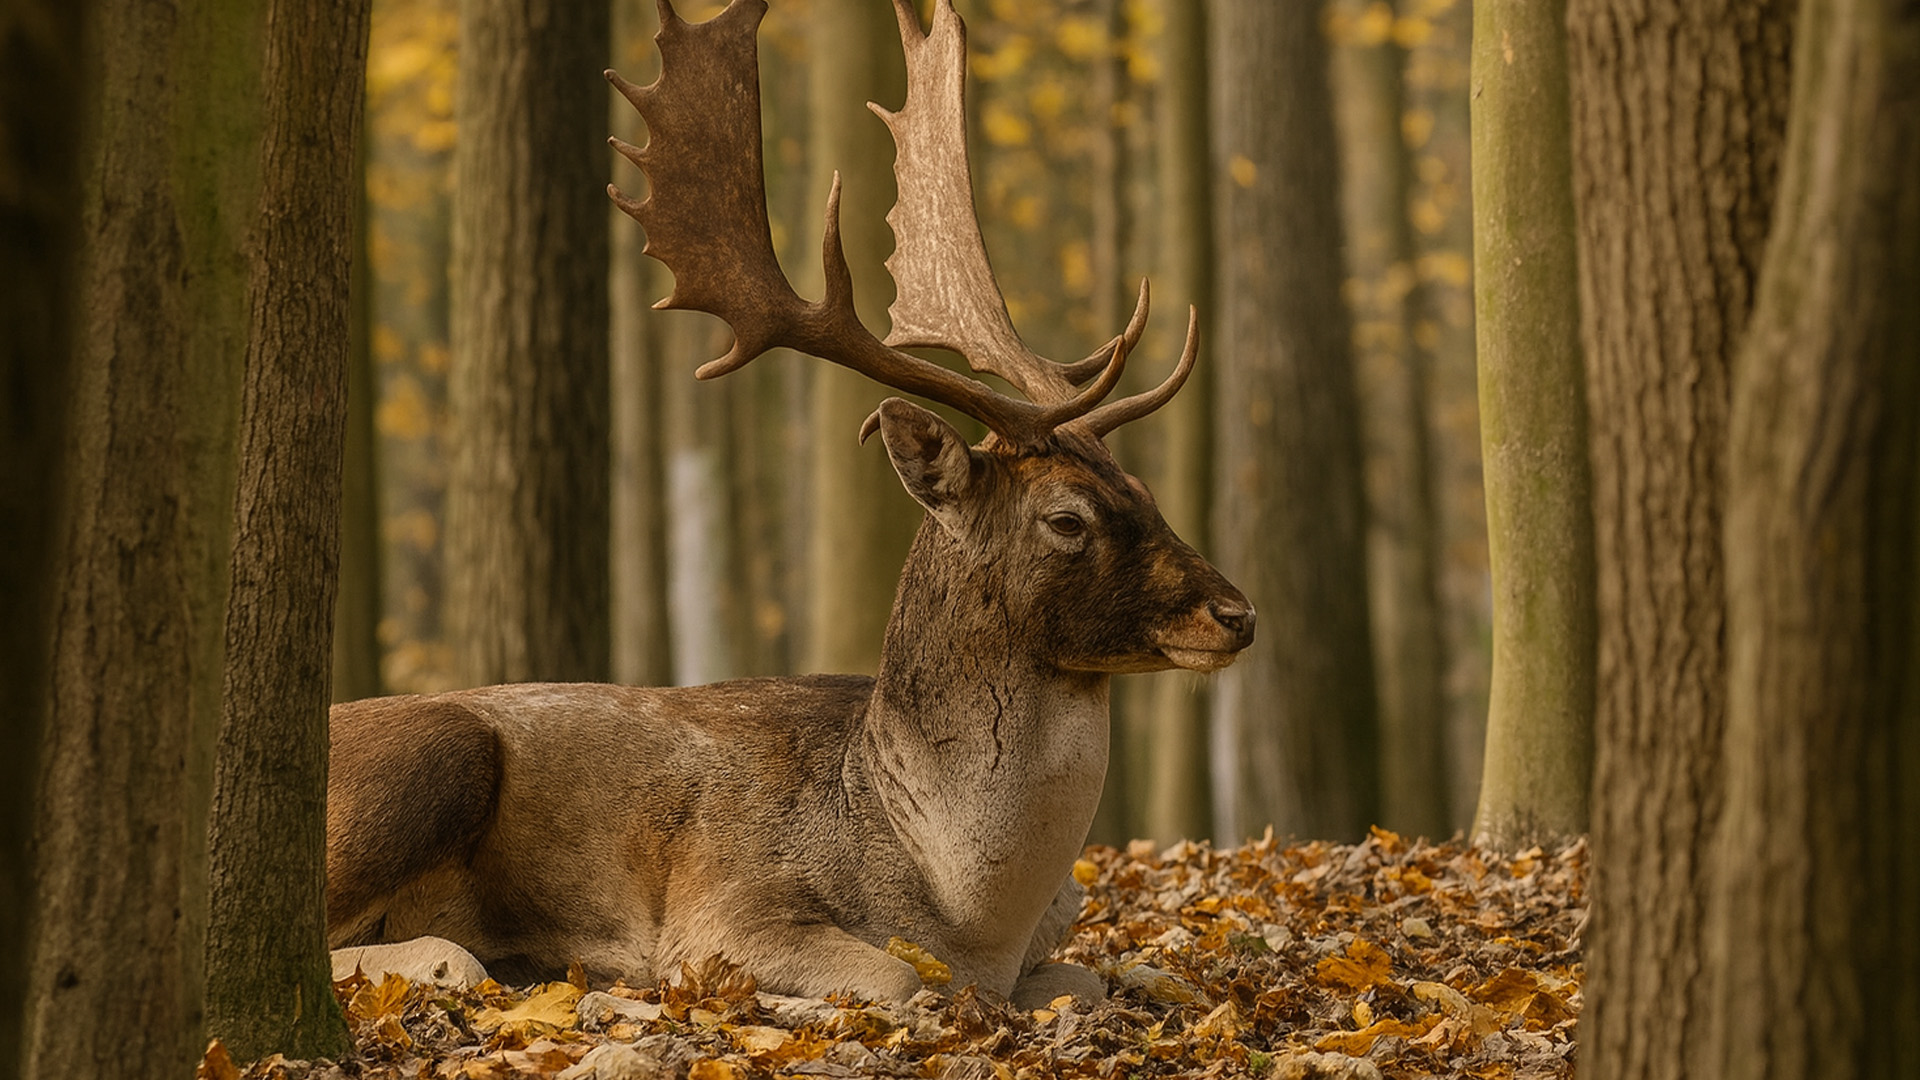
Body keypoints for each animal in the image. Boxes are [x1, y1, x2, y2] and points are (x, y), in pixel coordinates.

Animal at [324, 0, 1254, 1011]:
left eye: (1146, 491)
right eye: (1066, 519)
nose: (1237, 613)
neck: (972, 918)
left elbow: (1096, 977)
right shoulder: (728, 900)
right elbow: (896, 977)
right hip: (429, 759)